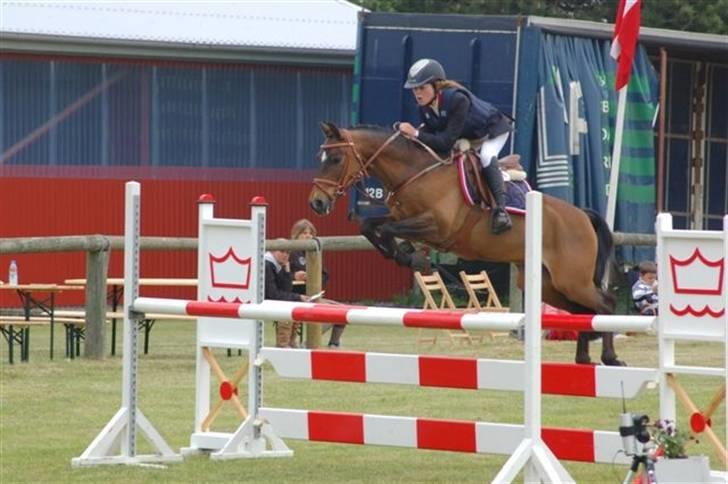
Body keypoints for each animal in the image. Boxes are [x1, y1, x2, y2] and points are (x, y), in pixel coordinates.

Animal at [310, 123, 624, 364]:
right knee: (581, 311)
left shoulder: (436, 226)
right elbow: (370, 226)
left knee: (605, 304)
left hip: (571, 280)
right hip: (548, 284)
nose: (317, 203)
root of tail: (582, 215)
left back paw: (609, 357)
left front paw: (410, 257)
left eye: (335, 159)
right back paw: (584, 358)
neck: (415, 172)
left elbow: (387, 229)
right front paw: (404, 254)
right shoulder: (404, 217)